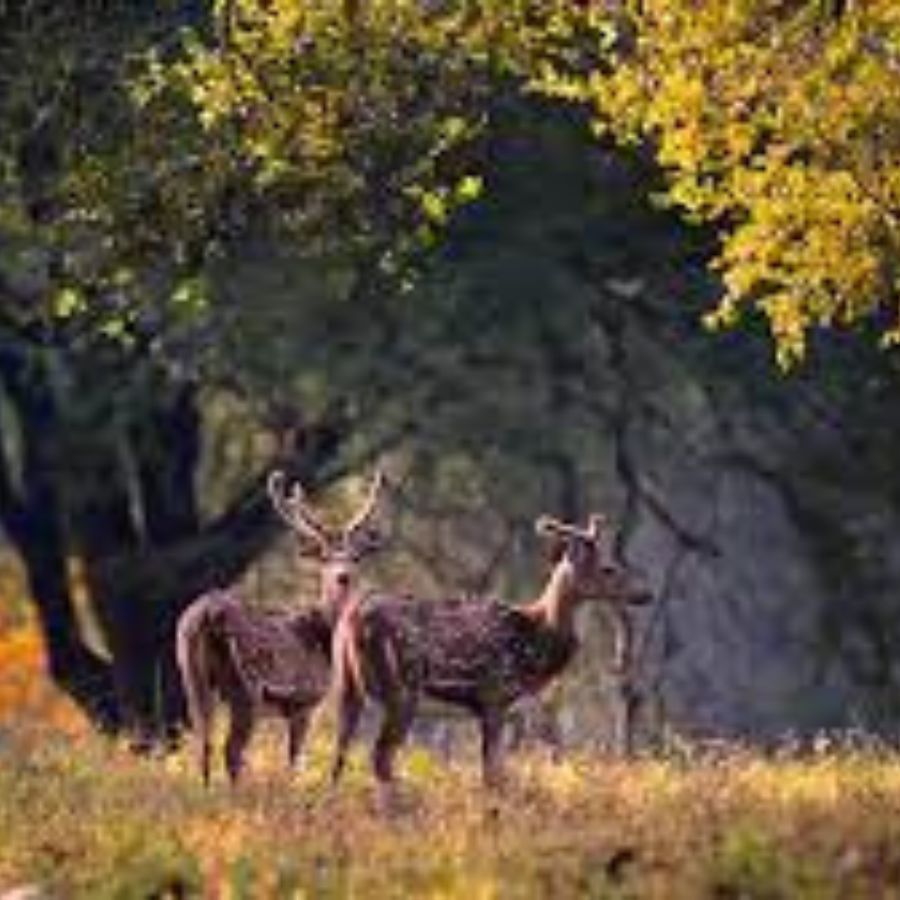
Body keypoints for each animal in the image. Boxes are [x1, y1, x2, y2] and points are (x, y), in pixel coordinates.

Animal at [177, 468, 386, 784]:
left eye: (354, 556)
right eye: (324, 556)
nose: (343, 576)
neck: (323, 634)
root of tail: (205, 615)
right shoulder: (304, 701)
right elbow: (295, 761)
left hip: (191, 673)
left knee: (204, 743)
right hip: (246, 685)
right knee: (232, 750)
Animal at [326, 512, 652, 800]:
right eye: (609, 568)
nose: (646, 593)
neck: (535, 643)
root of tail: (350, 620)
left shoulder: (492, 707)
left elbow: (493, 772)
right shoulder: (495, 694)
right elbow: (494, 776)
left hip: (347, 685)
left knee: (339, 753)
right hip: (401, 688)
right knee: (380, 756)